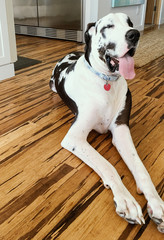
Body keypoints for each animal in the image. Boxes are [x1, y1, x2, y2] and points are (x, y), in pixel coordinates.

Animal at [50, 13, 164, 232]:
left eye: (130, 23)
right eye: (108, 26)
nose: (134, 34)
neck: (106, 81)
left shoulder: (121, 130)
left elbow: (141, 169)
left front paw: (156, 203)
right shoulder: (74, 138)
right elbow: (107, 165)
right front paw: (126, 200)